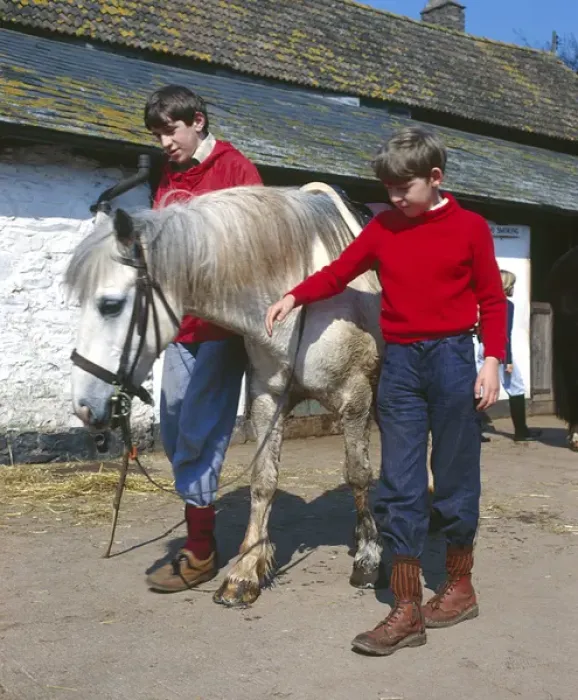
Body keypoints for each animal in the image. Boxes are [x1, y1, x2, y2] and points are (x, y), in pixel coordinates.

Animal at [66, 183, 387, 606]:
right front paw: (246, 570)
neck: (300, 296)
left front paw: (368, 556)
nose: (84, 406)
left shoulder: (354, 398)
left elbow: (358, 475)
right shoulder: (269, 399)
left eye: (110, 305)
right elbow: (263, 481)